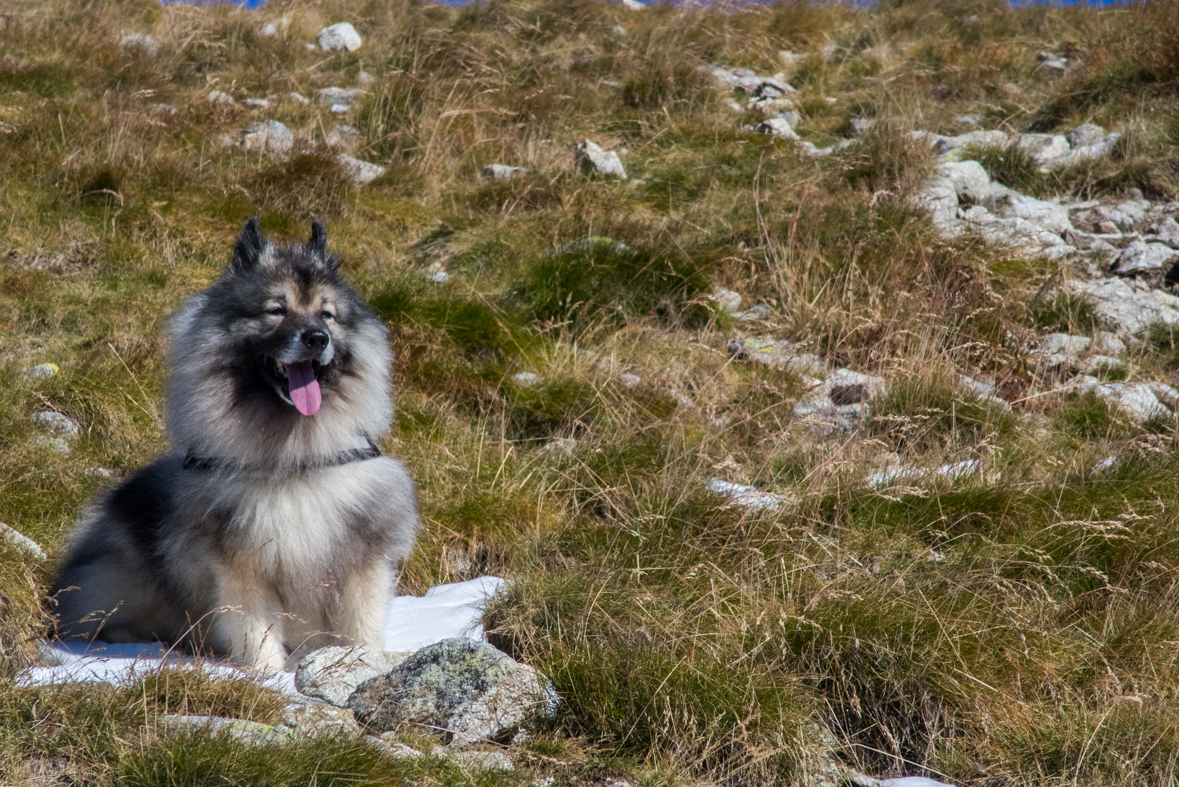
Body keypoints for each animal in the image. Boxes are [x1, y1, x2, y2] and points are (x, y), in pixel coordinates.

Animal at [51, 217, 419, 673]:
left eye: (327, 314)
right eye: (276, 310)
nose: (317, 338)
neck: (294, 461)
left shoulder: (361, 561)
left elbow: (360, 629)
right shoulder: (242, 565)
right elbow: (257, 635)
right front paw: (270, 678)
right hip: (125, 581)